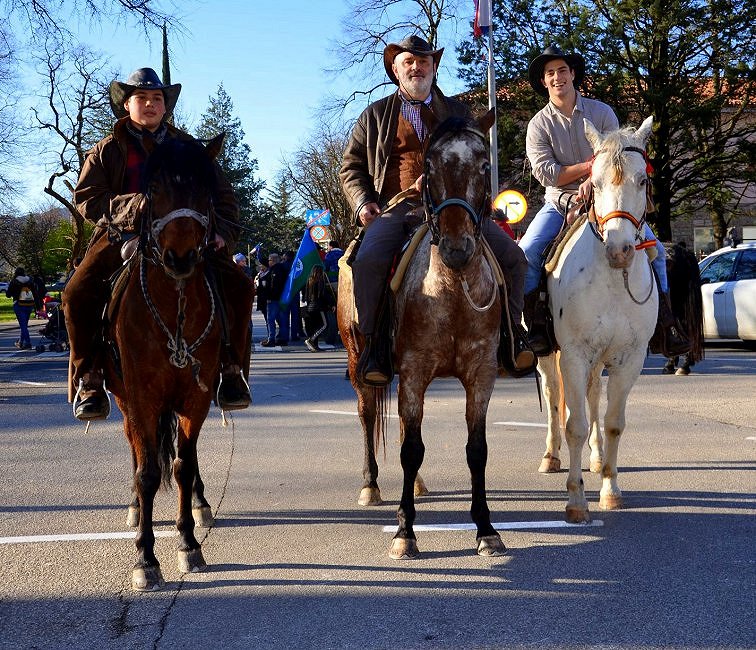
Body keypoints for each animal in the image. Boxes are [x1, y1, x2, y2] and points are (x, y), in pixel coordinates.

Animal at [338, 111, 508, 556]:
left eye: (484, 164)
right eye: (429, 168)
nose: (456, 248)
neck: (451, 290)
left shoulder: (481, 374)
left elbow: (476, 450)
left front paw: (486, 529)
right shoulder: (414, 372)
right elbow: (411, 449)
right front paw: (404, 532)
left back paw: (414, 486)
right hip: (358, 361)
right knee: (367, 415)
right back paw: (371, 485)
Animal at [536, 116, 660, 520]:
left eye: (642, 180)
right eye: (597, 181)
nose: (620, 250)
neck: (611, 279)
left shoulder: (629, 359)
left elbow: (613, 423)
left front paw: (610, 489)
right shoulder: (574, 354)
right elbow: (573, 424)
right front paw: (576, 501)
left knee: (592, 398)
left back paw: (595, 457)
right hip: (550, 356)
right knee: (555, 396)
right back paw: (551, 456)